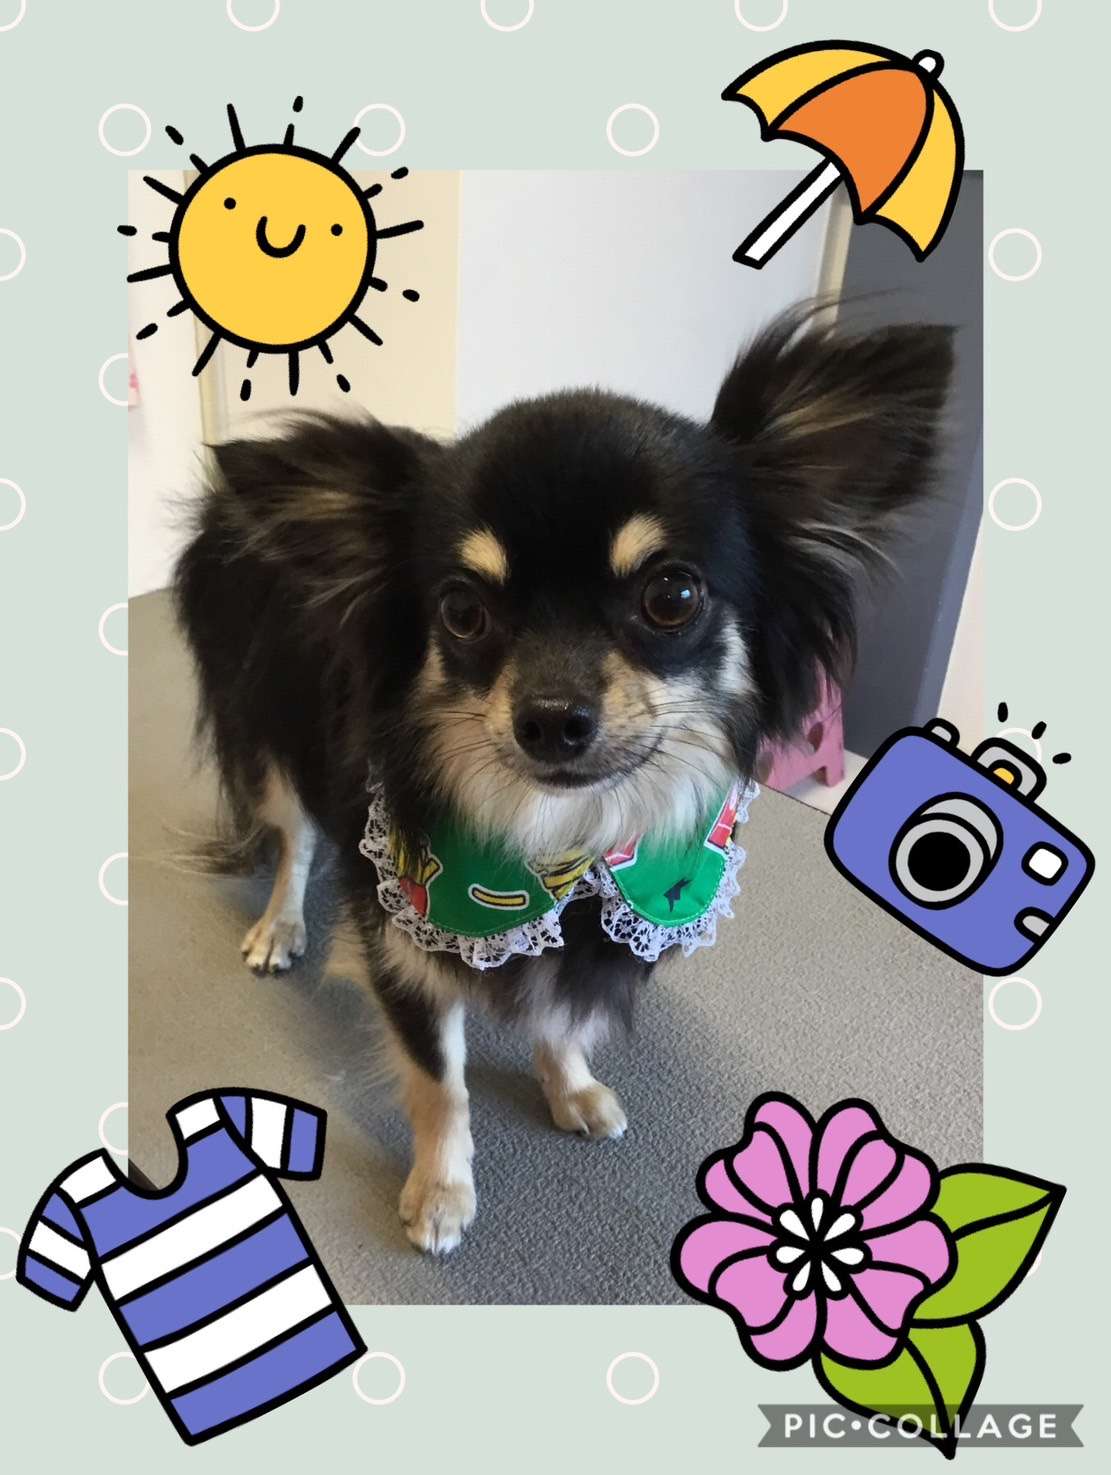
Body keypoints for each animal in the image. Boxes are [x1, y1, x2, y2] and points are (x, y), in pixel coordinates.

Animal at [174, 304, 953, 1254]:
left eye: (672, 596)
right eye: (462, 612)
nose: (549, 719)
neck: (562, 845)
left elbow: (560, 1016)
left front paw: (569, 1081)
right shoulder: (404, 945)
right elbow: (441, 1082)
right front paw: (440, 1189)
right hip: (263, 733)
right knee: (293, 838)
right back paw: (281, 924)